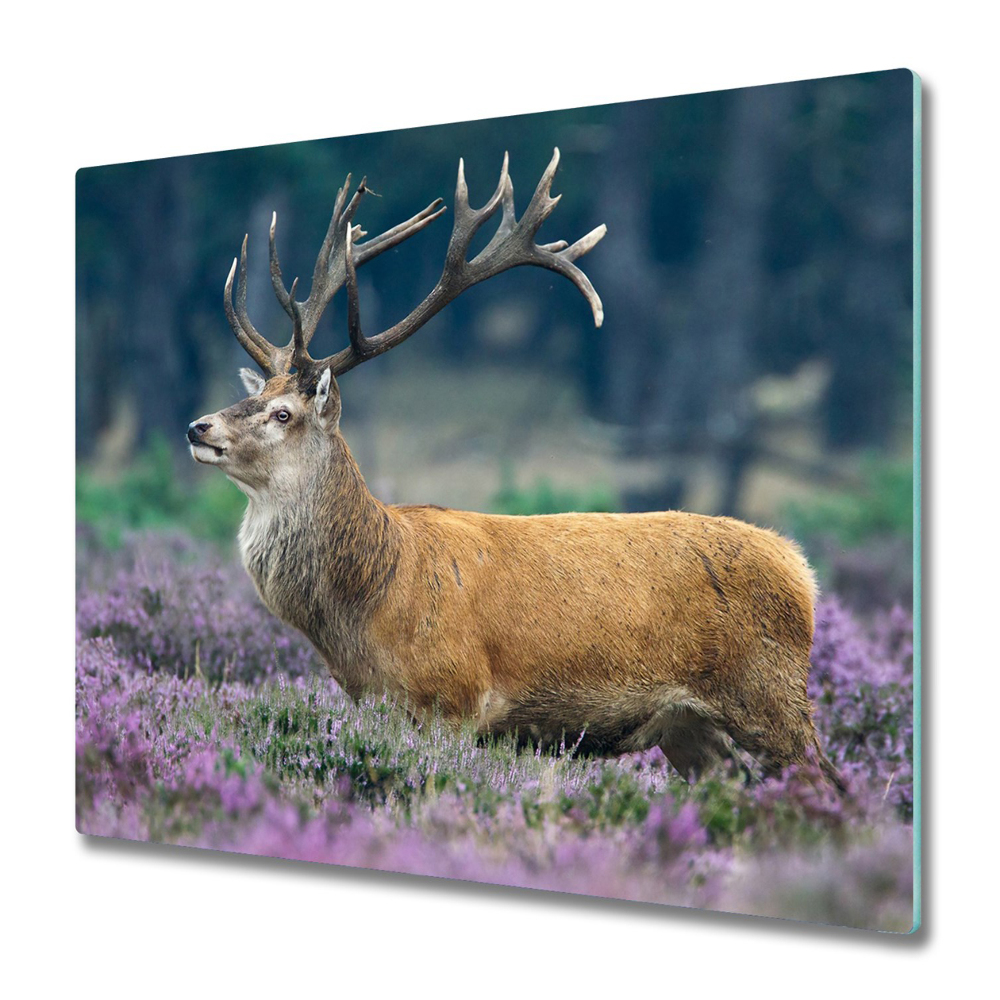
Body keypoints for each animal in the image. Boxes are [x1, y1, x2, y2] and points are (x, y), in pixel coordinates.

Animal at [187, 148, 843, 789]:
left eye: (283, 413)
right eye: (255, 394)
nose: (199, 427)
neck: (371, 599)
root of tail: (802, 570)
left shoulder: (453, 698)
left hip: (769, 696)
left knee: (833, 782)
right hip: (691, 727)